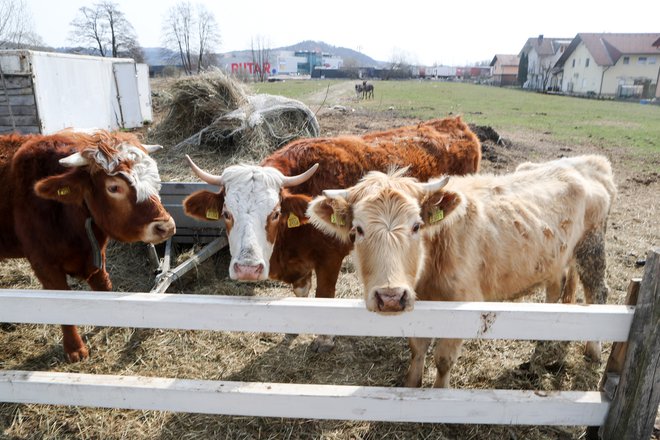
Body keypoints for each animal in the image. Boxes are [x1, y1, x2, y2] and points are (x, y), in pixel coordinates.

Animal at [0, 130, 175, 360]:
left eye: (156, 178)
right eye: (114, 187)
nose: (166, 227)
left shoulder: (95, 256)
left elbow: (103, 287)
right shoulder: (44, 265)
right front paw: (74, 349)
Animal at [183, 116, 482, 350]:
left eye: (275, 213)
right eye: (226, 213)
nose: (247, 268)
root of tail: (454, 123)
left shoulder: (329, 258)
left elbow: (324, 296)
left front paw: (325, 338)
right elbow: (301, 293)